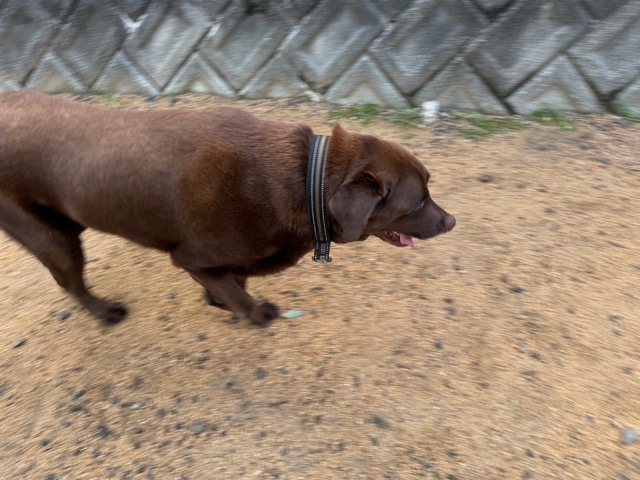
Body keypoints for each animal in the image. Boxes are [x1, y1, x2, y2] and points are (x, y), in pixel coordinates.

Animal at [0, 91, 455, 326]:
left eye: (430, 186)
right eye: (419, 200)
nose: (452, 221)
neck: (302, 179)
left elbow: (234, 280)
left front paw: (218, 299)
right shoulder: (191, 257)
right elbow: (239, 294)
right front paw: (253, 312)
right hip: (51, 235)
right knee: (70, 282)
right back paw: (105, 311)